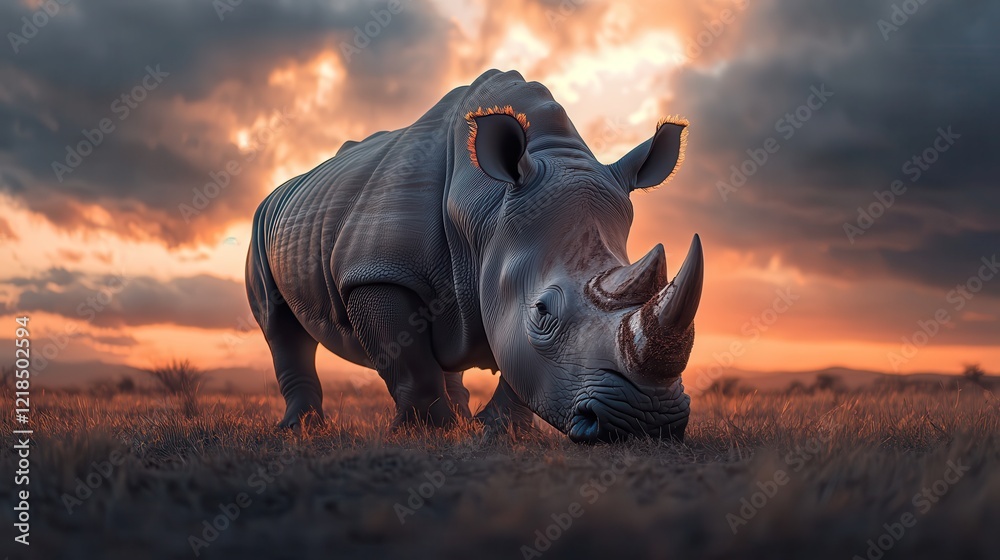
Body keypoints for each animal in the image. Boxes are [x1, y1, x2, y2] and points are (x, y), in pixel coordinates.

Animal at [246, 69, 703, 442]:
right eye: (542, 312)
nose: (646, 421)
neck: (488, 205)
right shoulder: (376, 273)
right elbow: (408, 361)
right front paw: (426, 434)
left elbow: (515, 361)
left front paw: (501, 433)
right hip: (262, 221)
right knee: (279, 325)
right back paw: (302, 429)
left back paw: (462, 420)